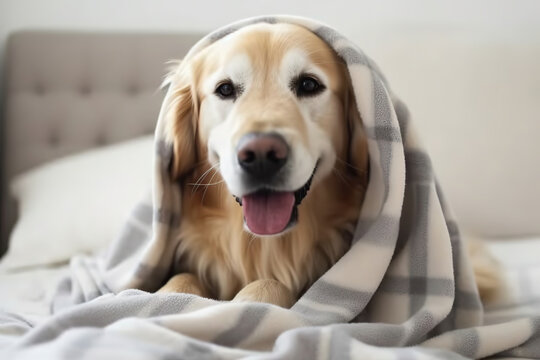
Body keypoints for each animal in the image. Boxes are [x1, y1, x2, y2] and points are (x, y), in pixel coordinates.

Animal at [156, 23, 498, 306]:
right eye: (225, 89)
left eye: (309, 85)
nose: (261, 154)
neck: (267, 247)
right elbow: (179, 280)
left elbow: (270, 285)